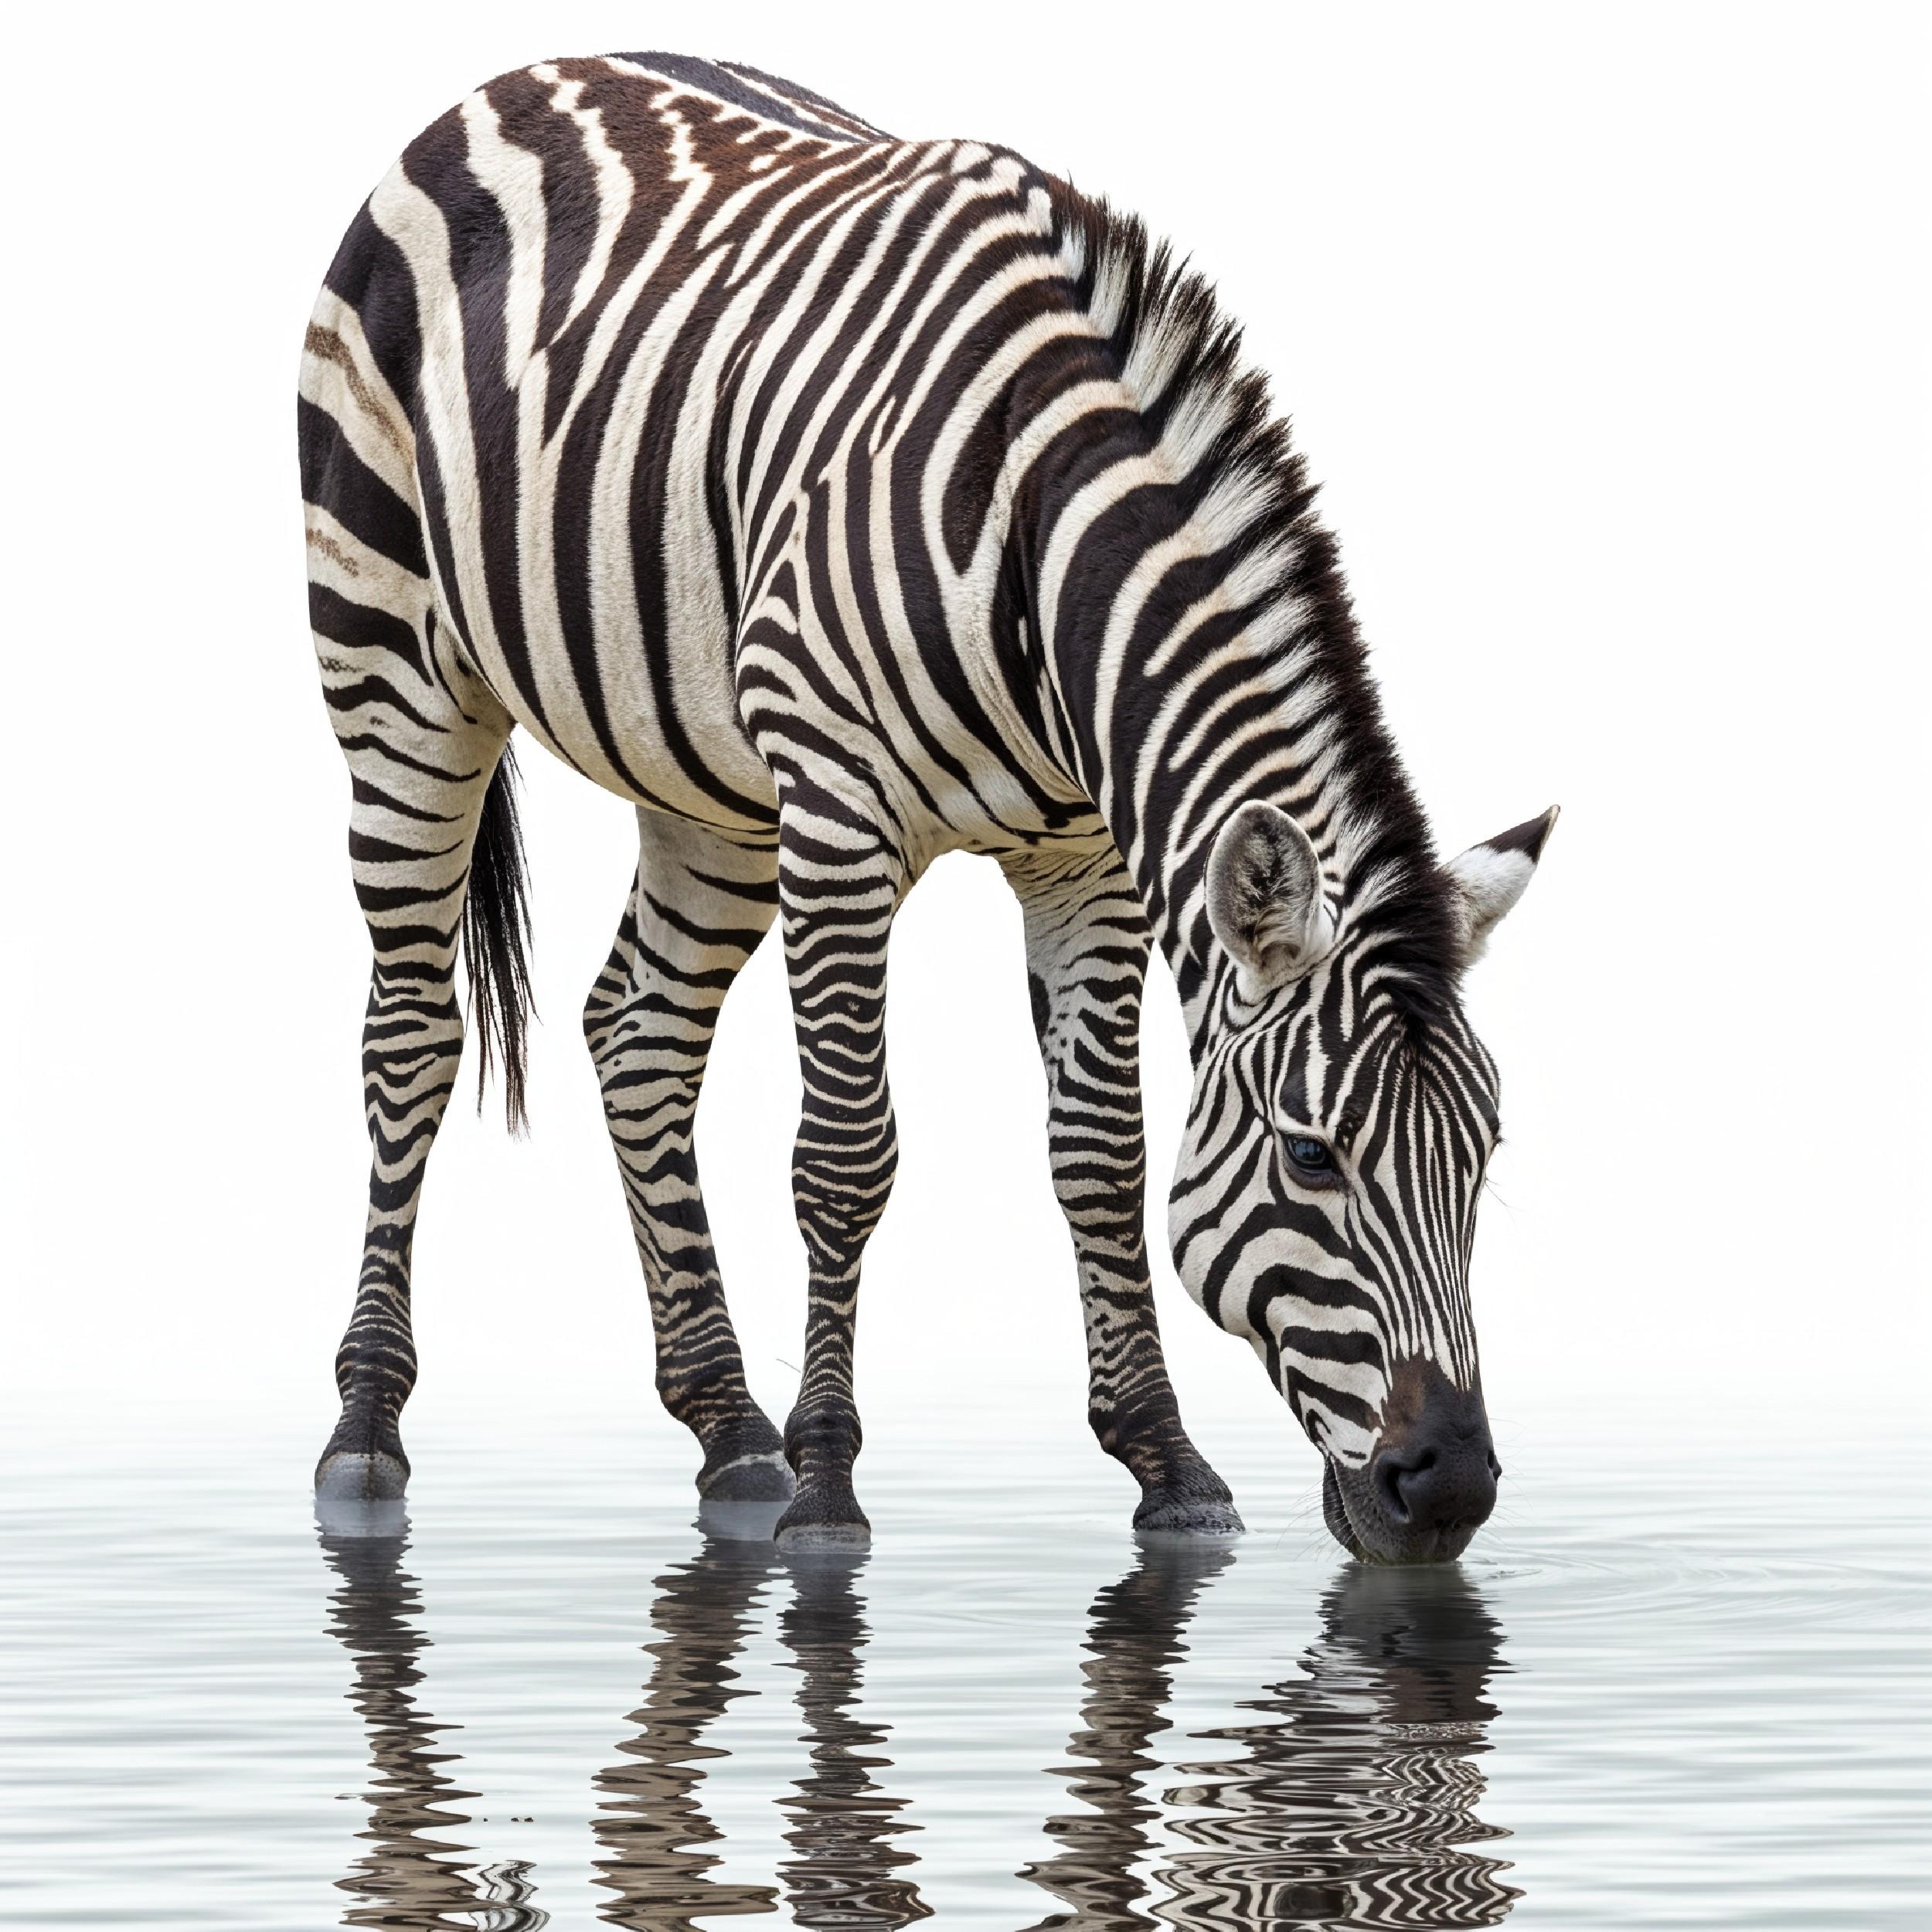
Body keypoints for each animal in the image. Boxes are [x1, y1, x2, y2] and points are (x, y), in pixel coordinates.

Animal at [299, 50, 1555, 1558]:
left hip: (714, 781)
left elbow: (1099, 1156)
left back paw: (728, 1429)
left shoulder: (1087, 856)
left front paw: (1166, 1466)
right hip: (397, 668)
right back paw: (370, 1432)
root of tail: (525, 72)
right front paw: (832, 1483)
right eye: (1312, 1158)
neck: (1043, 532)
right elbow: (847, 1156)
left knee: (639, 1031)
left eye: (1483, 1155)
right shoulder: (842, 815)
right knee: (412, 1035)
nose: (1453, 1488)